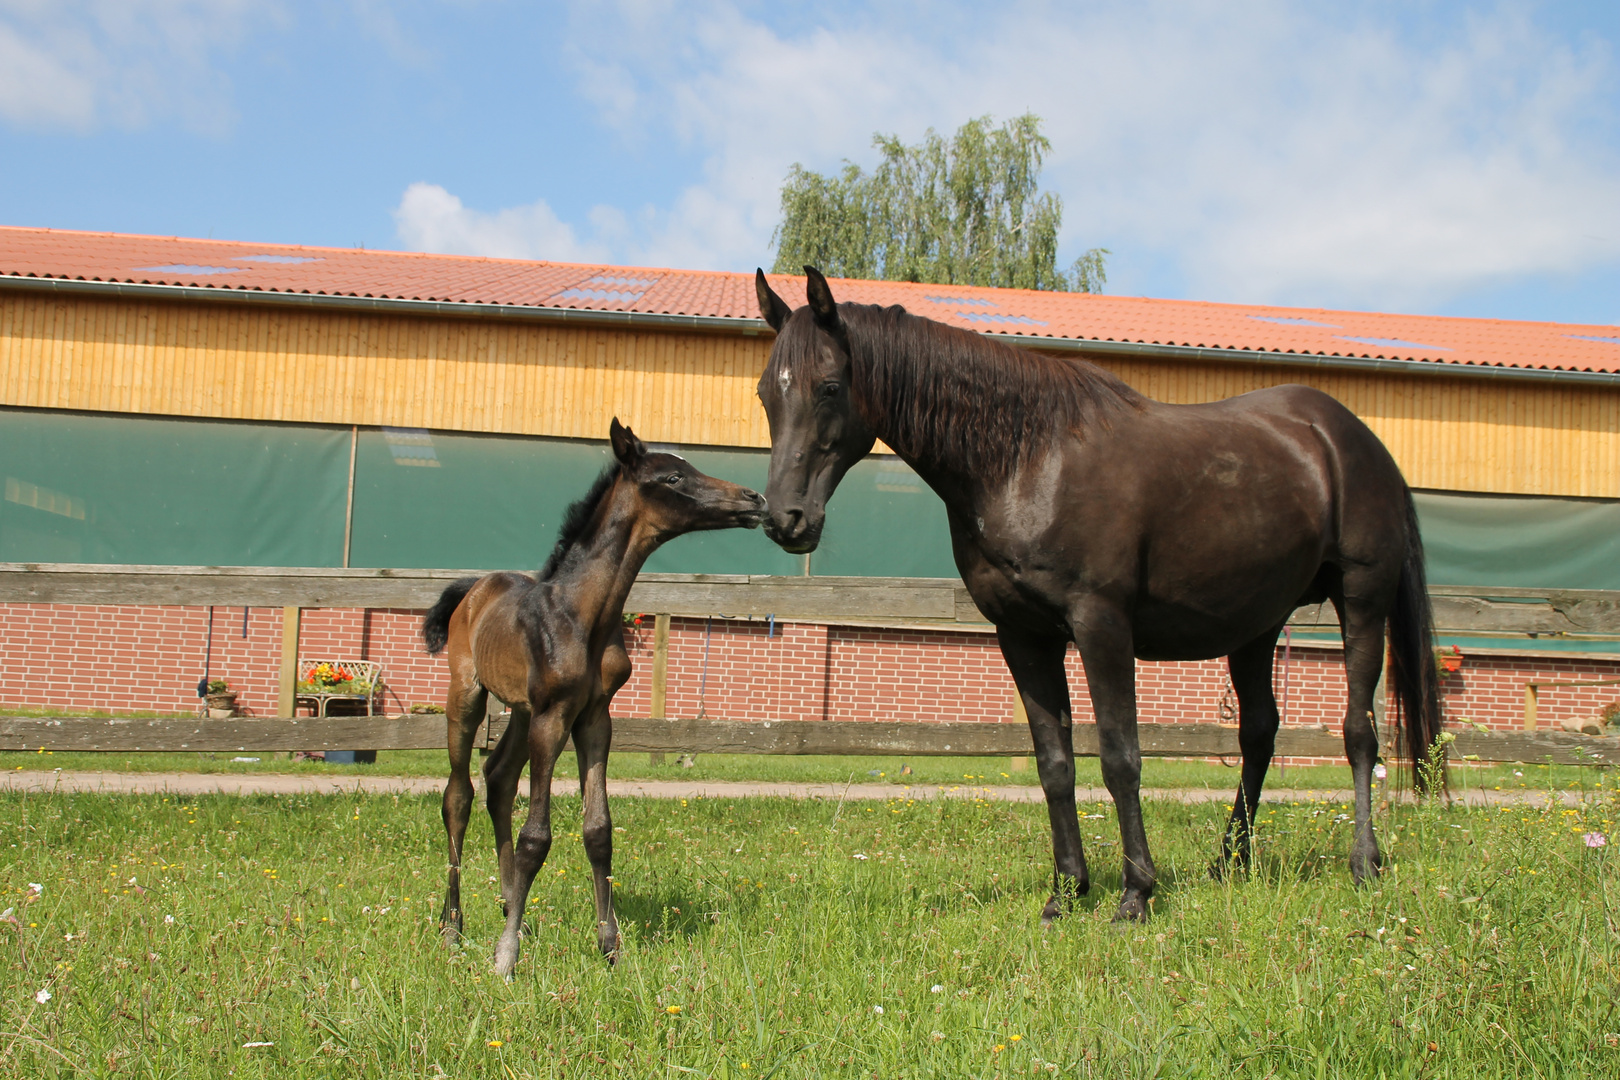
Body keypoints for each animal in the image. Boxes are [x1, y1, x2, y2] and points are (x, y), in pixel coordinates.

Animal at [424, 420, 764, 977]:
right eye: (673, 477)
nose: (754, 499)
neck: (584, 614)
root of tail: (474, 589)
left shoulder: (593, 717)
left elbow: (599, 829)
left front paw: (610, 946)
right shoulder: (554, 715)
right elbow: (536, 836)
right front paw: (505, 957)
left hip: (521, 713)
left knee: (498, 778)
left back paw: (509, 907)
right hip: (468, 697)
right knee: (459, 795)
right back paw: (453, 928)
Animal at [751, 268, 1438, 919]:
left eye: (829, 387)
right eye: (765, 392)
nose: (786, 520)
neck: (1028, 461)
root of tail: (1350, 437)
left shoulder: (1101, 626)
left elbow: (1119, 756)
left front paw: (1136, 894)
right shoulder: (1024, 637)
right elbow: (1055, 764)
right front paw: (1067, 892)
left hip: (1362, 603)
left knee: (1359, 733)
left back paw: (1364, 862)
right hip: (1256, 626)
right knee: (1259, 734)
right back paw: (1230, 863)